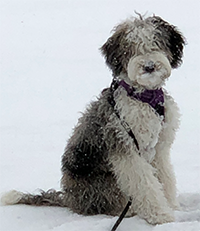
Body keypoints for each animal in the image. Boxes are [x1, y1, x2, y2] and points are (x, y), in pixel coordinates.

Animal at [1, 14, 186, 226]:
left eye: (156, 43)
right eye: (131, 48)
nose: (149, 66)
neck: (144, 98)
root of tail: (69, 197)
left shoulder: (159, 147)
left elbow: (165, 177)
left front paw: (171, 207)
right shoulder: (125, 145)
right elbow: (144, 183)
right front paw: (160, 215)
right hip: (105, 185)